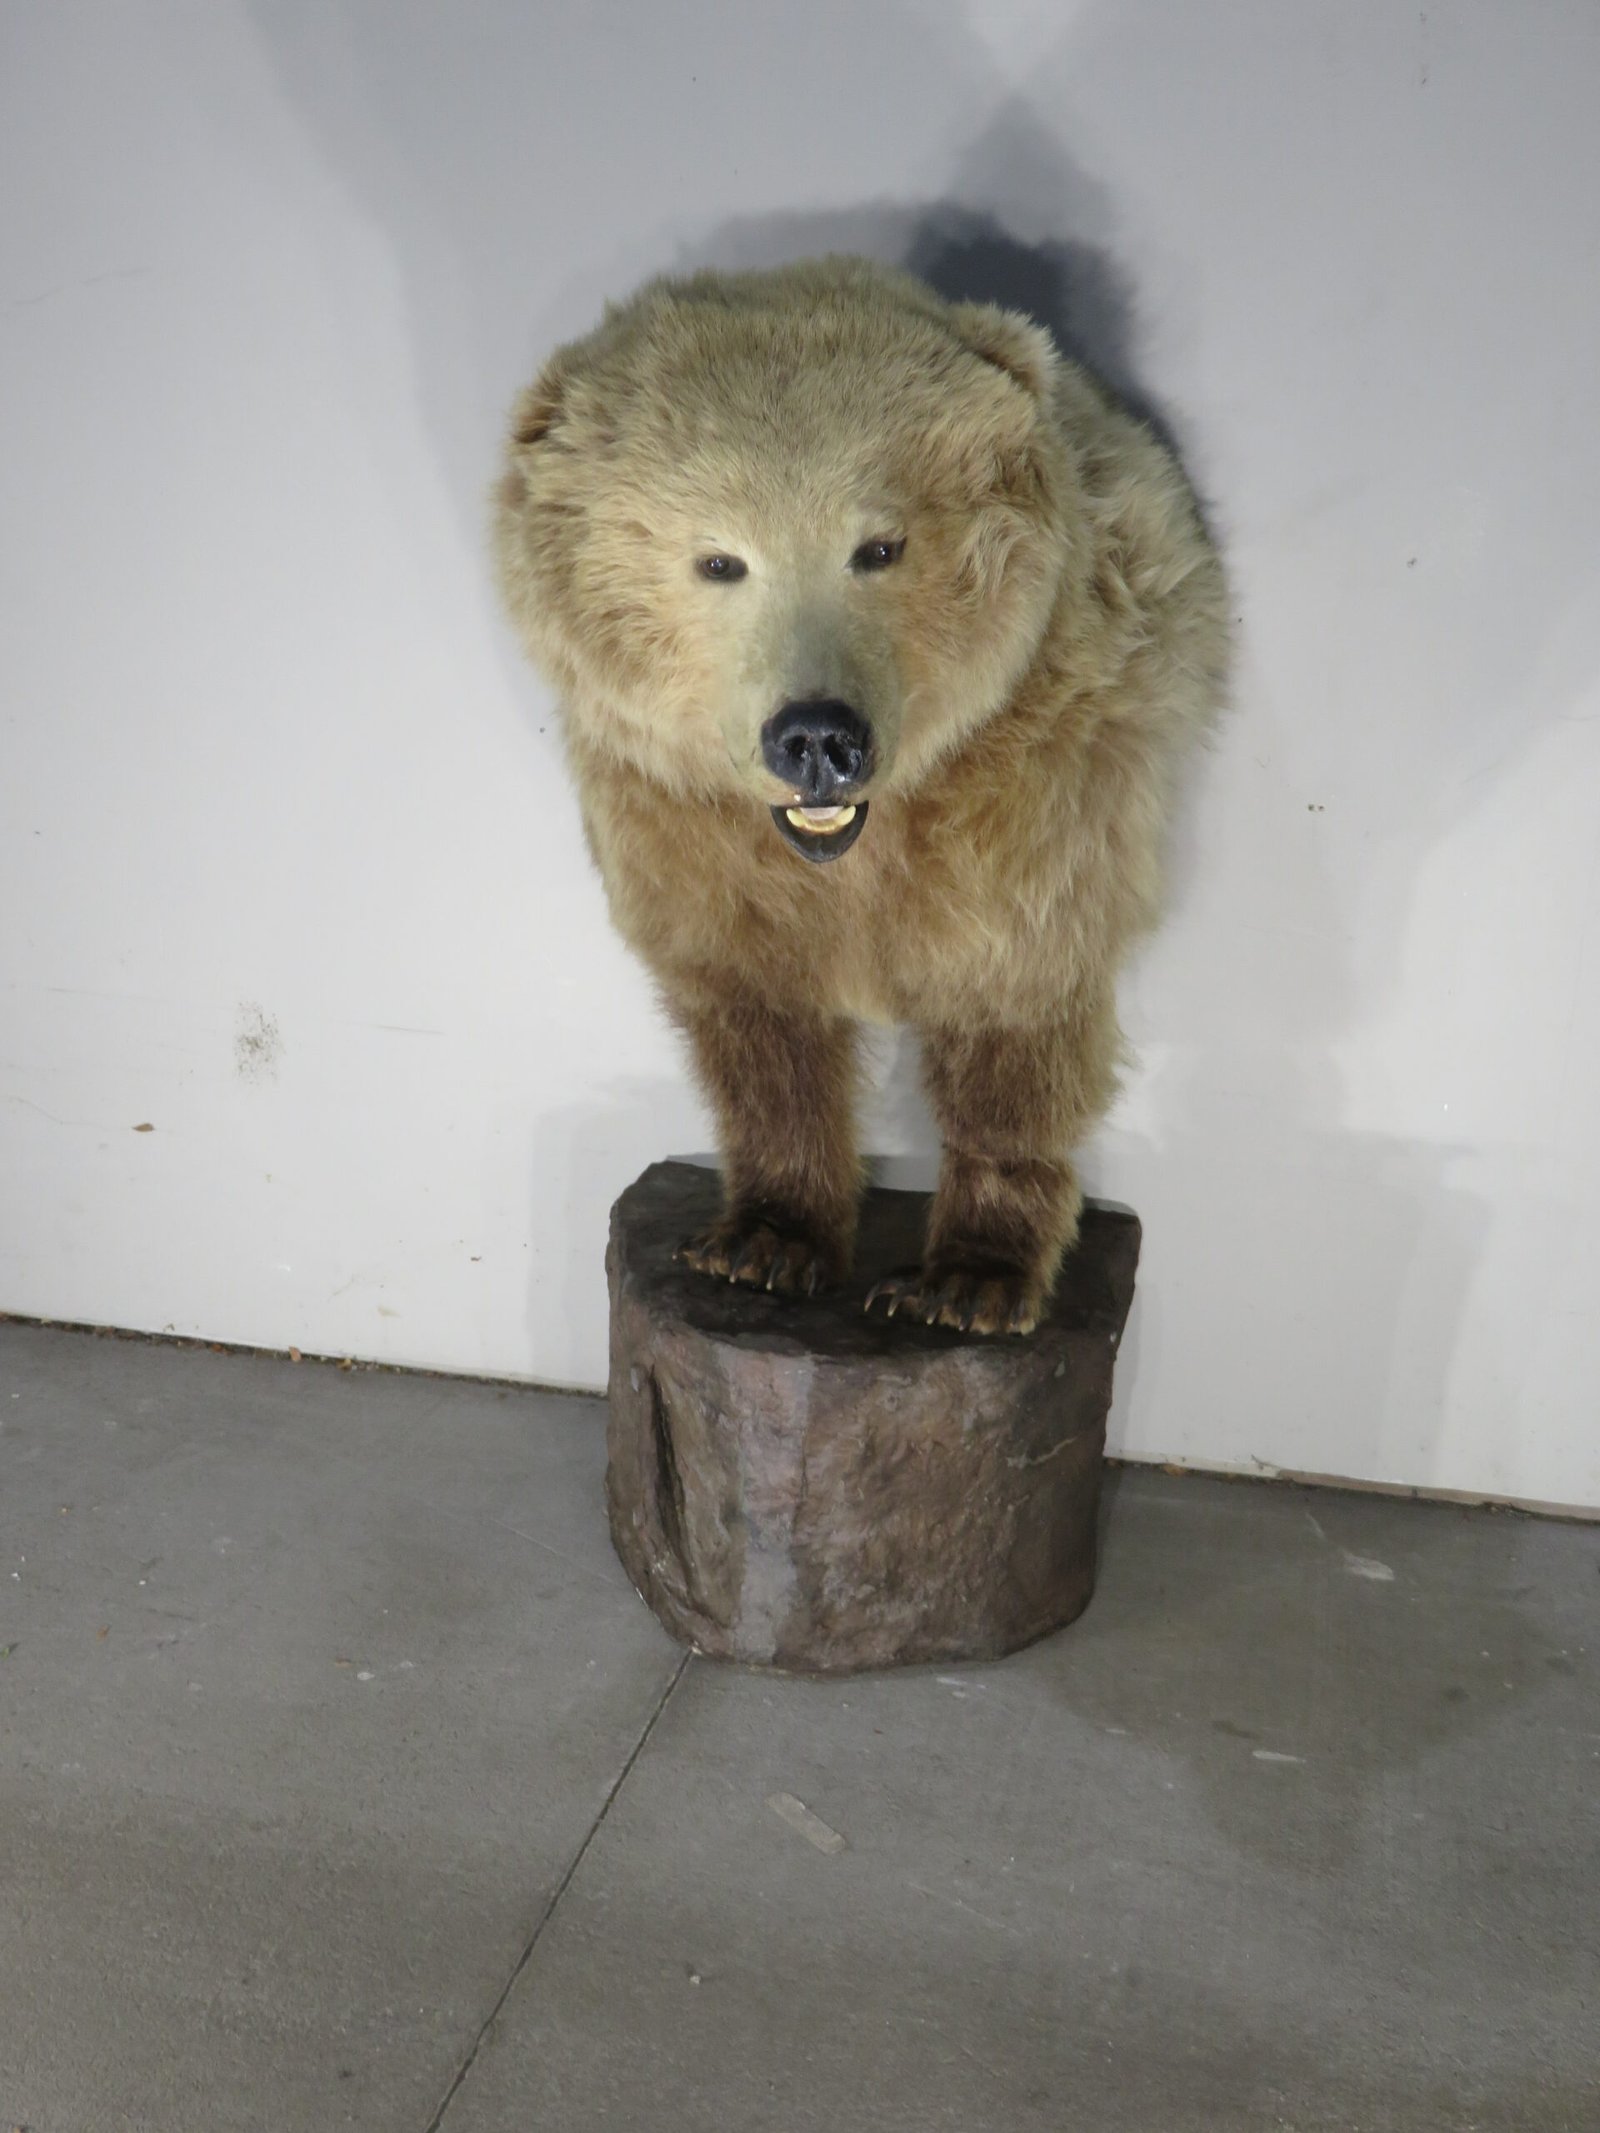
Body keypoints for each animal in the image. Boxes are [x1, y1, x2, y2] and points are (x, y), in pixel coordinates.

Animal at [494, 256, 1228, 1334]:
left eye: (879, 547)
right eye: (719, 558)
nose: (816, 736)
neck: (866, 850)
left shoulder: (1035, 802)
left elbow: (1014, 1015)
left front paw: (970, 1278)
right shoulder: (679, 827)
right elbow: (757, 1023)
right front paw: (760, 1241)